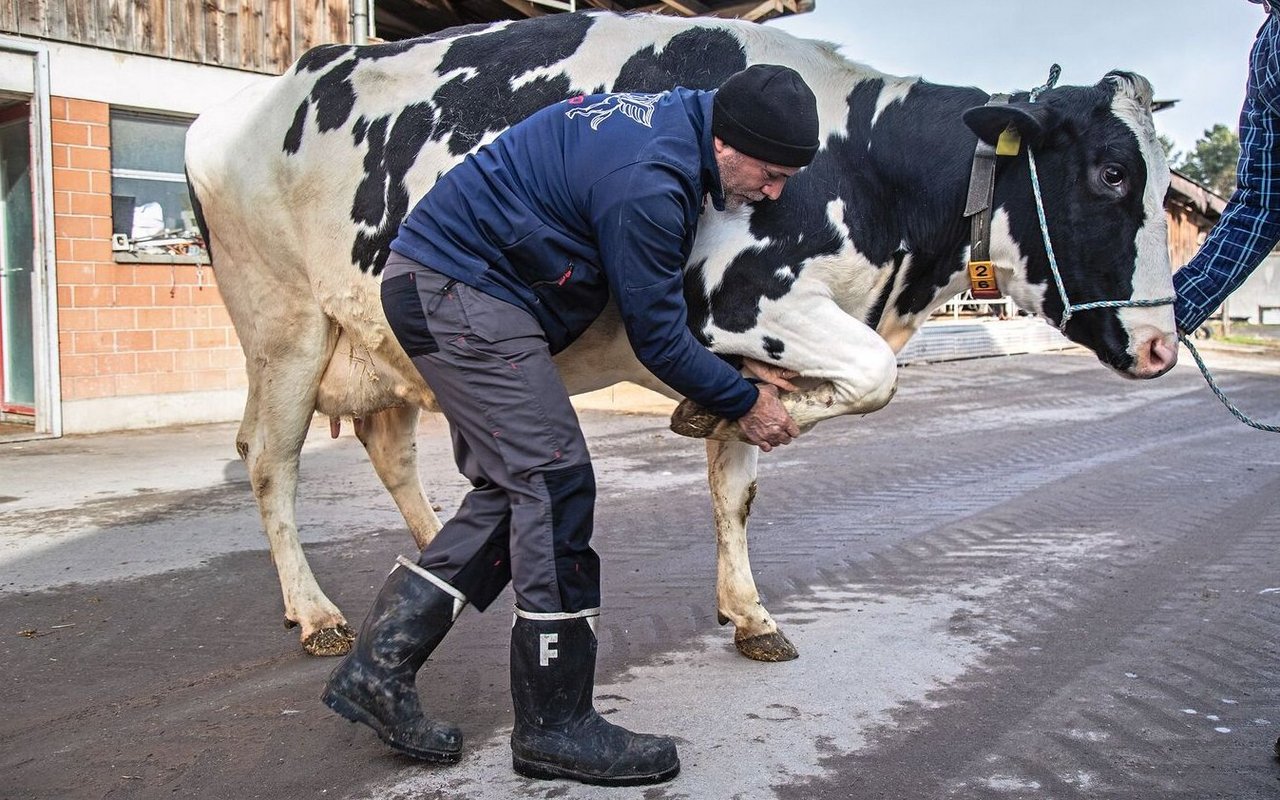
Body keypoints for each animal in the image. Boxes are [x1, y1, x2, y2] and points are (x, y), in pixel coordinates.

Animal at [185, 10, 1172, 660]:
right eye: (1112, 174)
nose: (1165, 345)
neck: (863, 166)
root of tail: (246, 104)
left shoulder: (753, 346)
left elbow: (737, 488)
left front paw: (750, 609)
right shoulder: (734, 307)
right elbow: (874, 377)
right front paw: (731, 420)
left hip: (375, 337)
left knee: (388, 449)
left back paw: (432, 562)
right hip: (284, 323)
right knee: (269, 459)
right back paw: (315, 612)